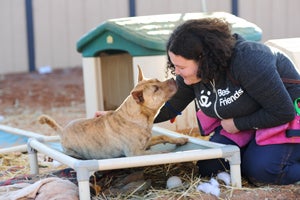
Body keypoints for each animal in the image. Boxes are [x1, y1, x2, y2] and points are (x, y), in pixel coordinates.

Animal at [37, 67, 188, 159]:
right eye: (156, 89)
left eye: (157, 80)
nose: (173, 79)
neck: (138, 116)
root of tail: (62, 130)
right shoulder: (135, 153)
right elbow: (155, 153)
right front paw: (165, 152)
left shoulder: (147, 142)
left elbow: (163, 136)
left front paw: (179, 139)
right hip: (73, 152)